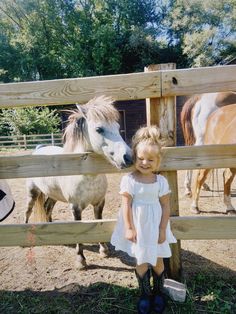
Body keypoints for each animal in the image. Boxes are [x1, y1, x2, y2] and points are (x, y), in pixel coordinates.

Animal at [26, 95, 133, 268]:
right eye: (99, 129)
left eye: (117, 127)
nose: (128, 157)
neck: (87, 175)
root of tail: (38, 149)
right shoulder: (75, 207)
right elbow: (78, 230)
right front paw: (81, 260)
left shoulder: (99, 203)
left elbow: (99, 222)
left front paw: (104, 250)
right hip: (32, 192)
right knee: (28, 211)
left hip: (53, 195)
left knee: (47, 208)